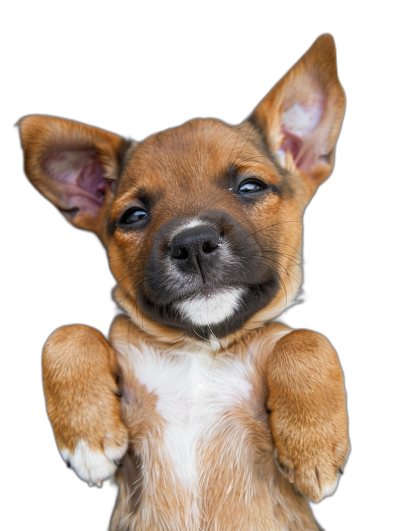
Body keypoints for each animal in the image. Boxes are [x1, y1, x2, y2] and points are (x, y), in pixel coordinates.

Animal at [18, 34, 348, 531]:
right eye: (134, 216)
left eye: (250, 186)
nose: (193, 243)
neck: (200, 350)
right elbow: (65, 333)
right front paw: (87, 438)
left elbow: (304, 339)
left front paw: (314, 449)